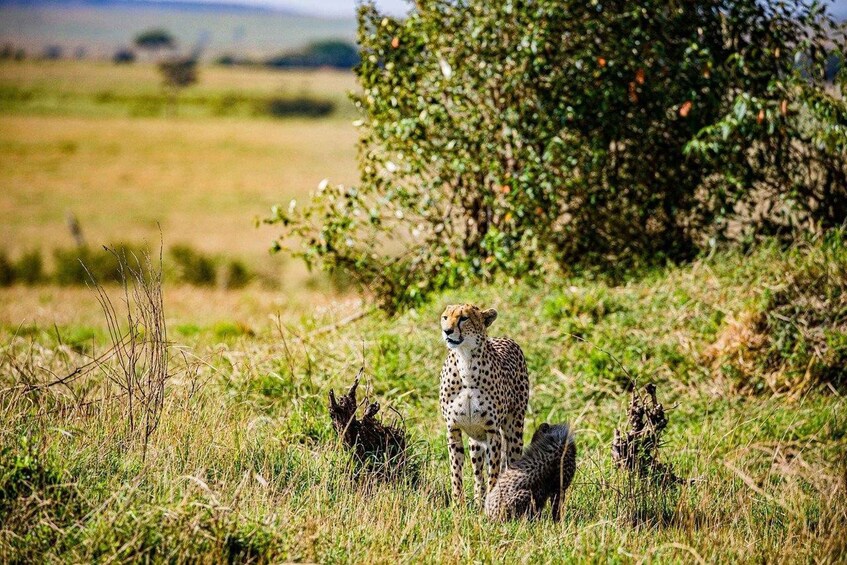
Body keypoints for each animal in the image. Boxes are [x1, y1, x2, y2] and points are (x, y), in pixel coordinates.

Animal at [440, 306, 528, 504]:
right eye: (445, 317)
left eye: (463, 318)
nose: (447, 331)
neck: (465, 361)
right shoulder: (453, 428)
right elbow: (456, 469)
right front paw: (458, 504)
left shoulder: (492, 431)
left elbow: (494, 472)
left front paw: (492, 501)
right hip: (475, 441)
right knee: (478, 473)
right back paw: (478, 500)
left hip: (514, 431)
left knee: (511, 461)